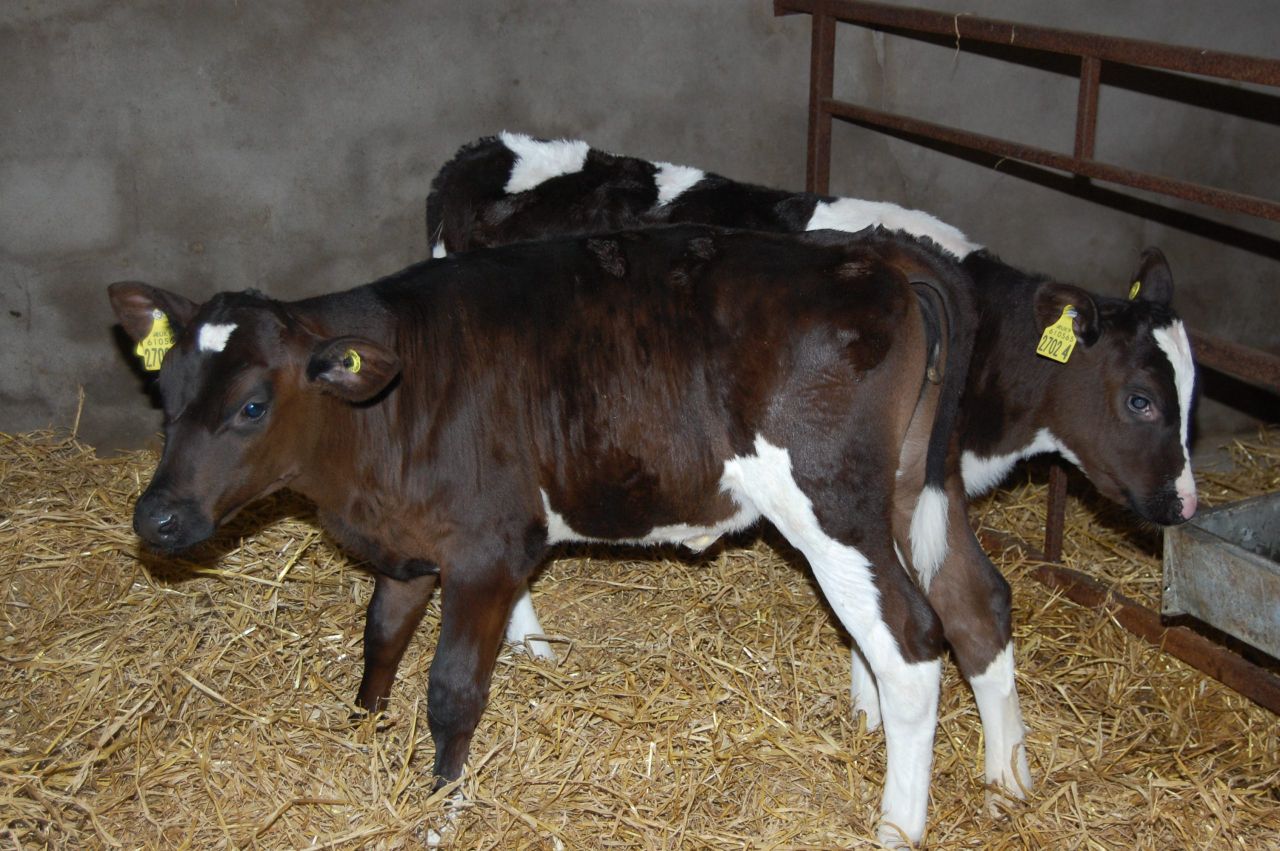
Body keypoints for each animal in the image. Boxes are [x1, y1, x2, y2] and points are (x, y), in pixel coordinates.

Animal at [111, 224, 980, 846]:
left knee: (910, 638)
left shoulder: (488, 549)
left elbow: (453, 687)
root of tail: (864, 253)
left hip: (829, 497)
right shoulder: (410, 544)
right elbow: (380, 636)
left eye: (253, 405)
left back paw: (897, 827)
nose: (156, 516)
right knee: (930, 608)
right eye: (167, 388)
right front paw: (363, 733)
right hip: (897, 492)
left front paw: (440, 808)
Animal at [425, 131, 1199, 816]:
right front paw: (870, 710)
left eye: (1192, 397)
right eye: (1141, 399)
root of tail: (484, 150)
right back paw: (529, 642)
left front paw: (879, 718)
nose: (1185, 503)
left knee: (975, 601)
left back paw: (1006, 778)